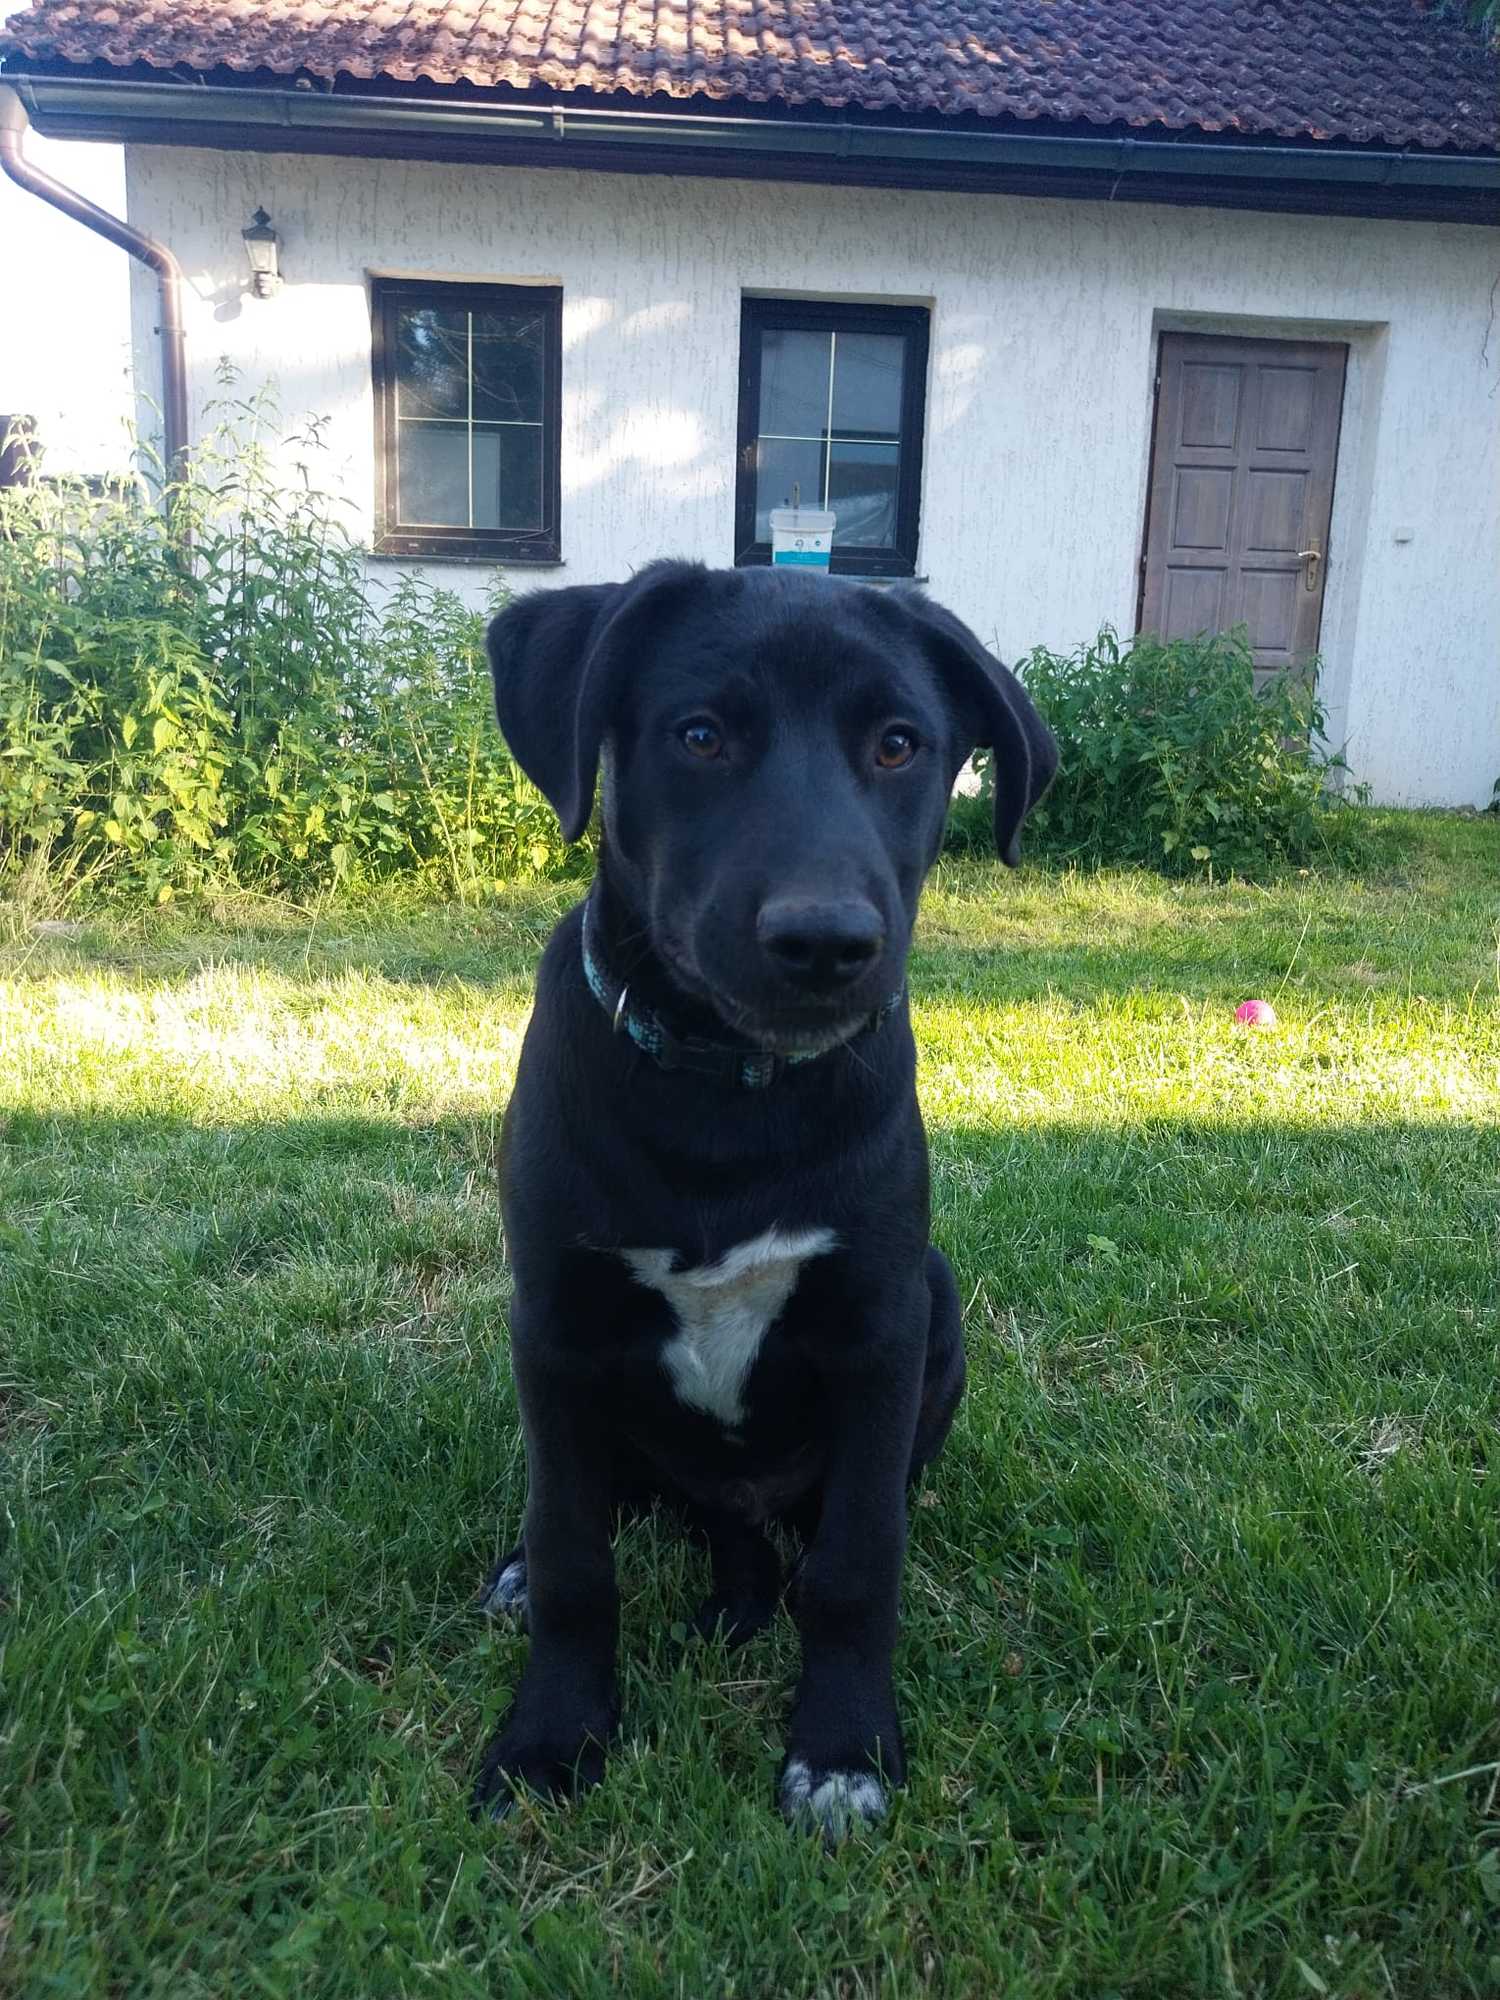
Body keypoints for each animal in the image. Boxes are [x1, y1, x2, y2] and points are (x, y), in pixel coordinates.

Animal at [473, 561, 1056, 1840]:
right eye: (700, 735)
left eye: (900, 744)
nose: (825, 942)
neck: (725, 1094)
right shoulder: (553, 1322)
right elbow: (573, 1549)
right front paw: (552, 1735)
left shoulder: (881, 1327)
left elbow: (856, 1563)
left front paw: (840, 1750)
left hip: (937, 1308)